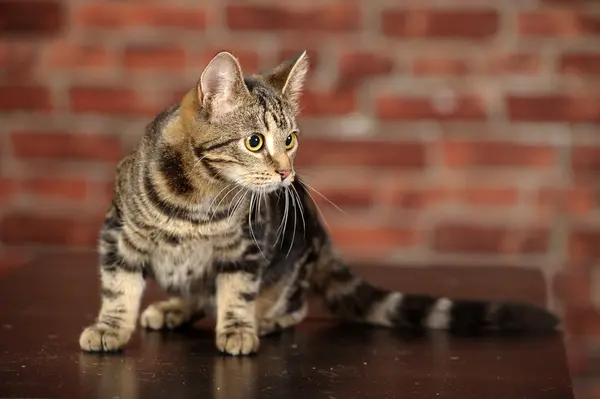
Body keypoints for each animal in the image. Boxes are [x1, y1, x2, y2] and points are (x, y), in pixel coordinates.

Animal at [77, 50, 560, 356]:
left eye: (290, 139)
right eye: (255, 142)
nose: (286, 173)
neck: (198, 202)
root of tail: (321, 234)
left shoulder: (247, 249)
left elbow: (236, 292)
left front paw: (239, 328)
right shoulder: (117, 234)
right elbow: (117, 289)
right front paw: (109, 328)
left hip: (293, 262)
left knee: (293, 305)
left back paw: (262, 319)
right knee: (198, 295)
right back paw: (174, 307)